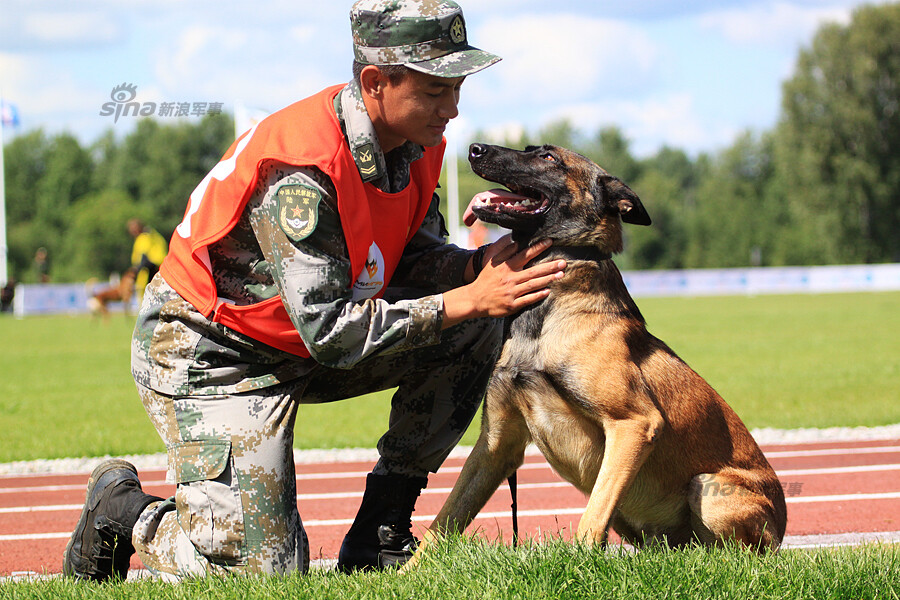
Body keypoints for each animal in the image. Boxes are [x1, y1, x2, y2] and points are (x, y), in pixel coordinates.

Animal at [404, 143, 784, 564]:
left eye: (549, 157)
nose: (474, 148)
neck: (545, 315)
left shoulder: (634, 424)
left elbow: (593, 515)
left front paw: (581, 564)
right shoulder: (497, 444)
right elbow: (445, 519)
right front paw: (405, 573)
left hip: (708, 486)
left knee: (733, 555)